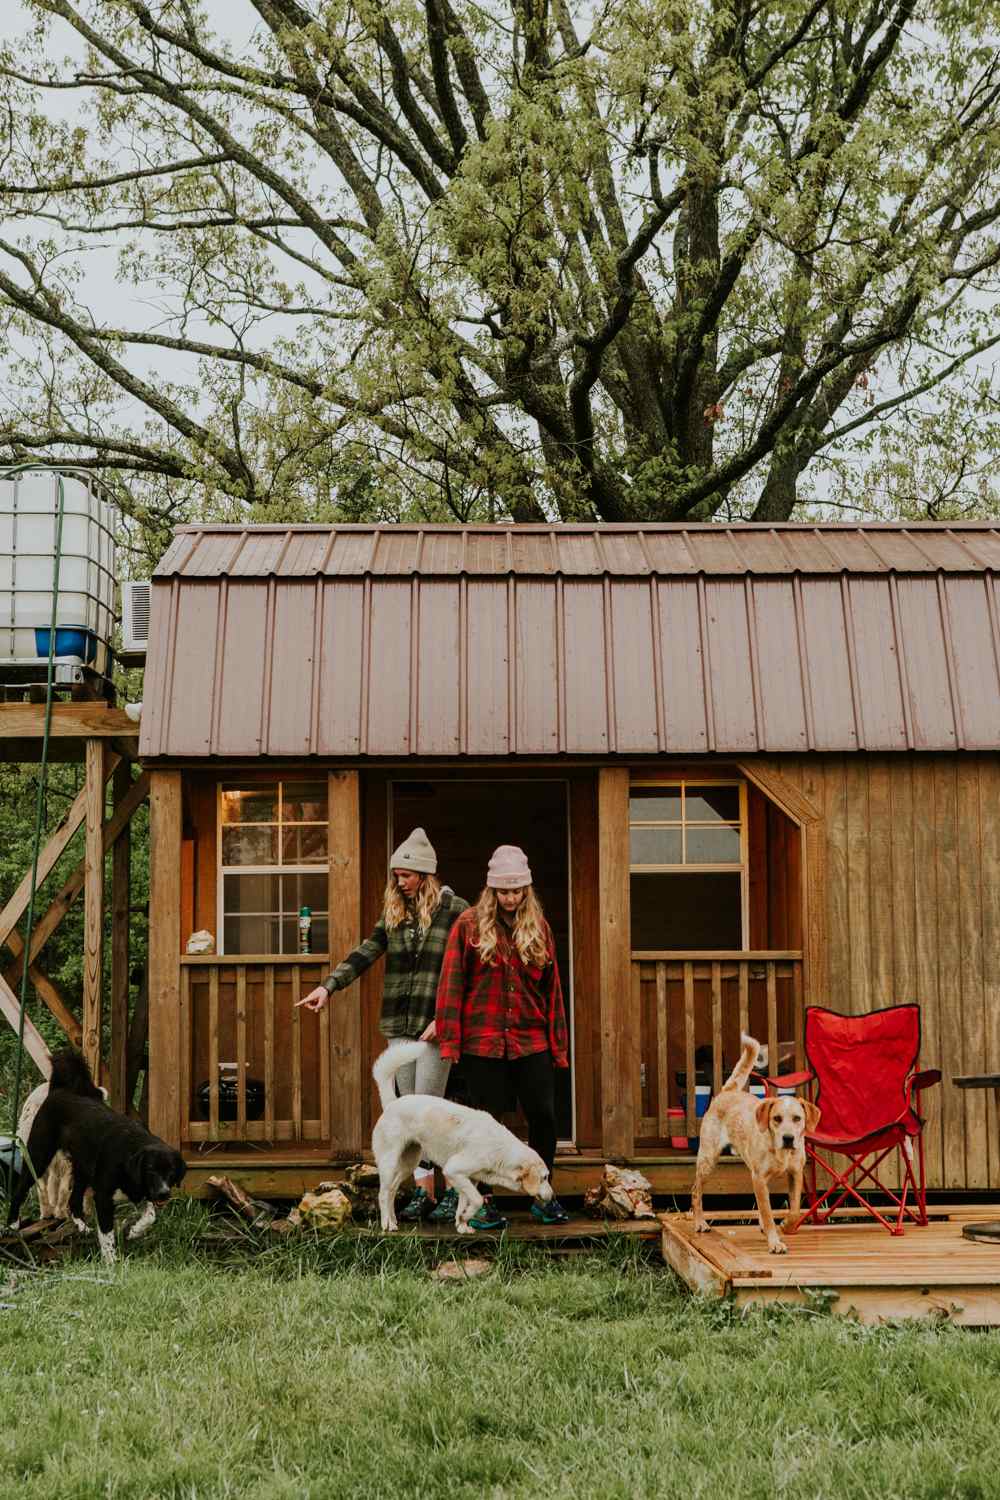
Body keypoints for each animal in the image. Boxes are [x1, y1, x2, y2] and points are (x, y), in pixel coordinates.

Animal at [7, 1050, 185, 1260]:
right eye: (150, 1170)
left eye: (171, 1171)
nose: (164, 1193)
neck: (127, 1156)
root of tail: (58, 1090)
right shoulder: (104, 1198)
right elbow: (107, 1234)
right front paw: (111, 1261)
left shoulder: (139, 1191)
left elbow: (150, 1215)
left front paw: (135, 1231)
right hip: (39, 1156)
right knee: (20, 1189)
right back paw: (12, 1225)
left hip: (81, 1167)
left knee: (74, 1200)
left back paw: (82, 1227)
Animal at [373, 1038, 551, 1236]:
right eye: (544, 1178)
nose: (552, 1196)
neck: (500, 1149)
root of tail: (392, 1103)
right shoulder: (453, 1170)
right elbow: (478, 1199)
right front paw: (465, 1219)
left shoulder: (468, 1178)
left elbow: (465, 1202)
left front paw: (462, 1224)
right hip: (389, 1163)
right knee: (383, 1194)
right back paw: (386, 1224)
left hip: (408, 1163)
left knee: (391, 1190)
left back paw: (393, 1221)